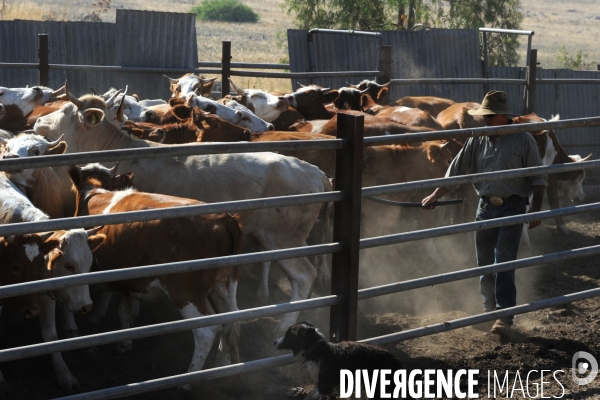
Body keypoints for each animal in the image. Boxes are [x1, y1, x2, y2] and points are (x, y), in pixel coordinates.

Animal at [71, 164, 246, 376]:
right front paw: (124, 342)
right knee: (232, 319)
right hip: (223, 284)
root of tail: (223, 218)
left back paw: (190, 376)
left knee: (206, 331)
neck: (95, 194)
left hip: (185, 291)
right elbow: (124, 309)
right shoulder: (127, 277)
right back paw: (222, 365)